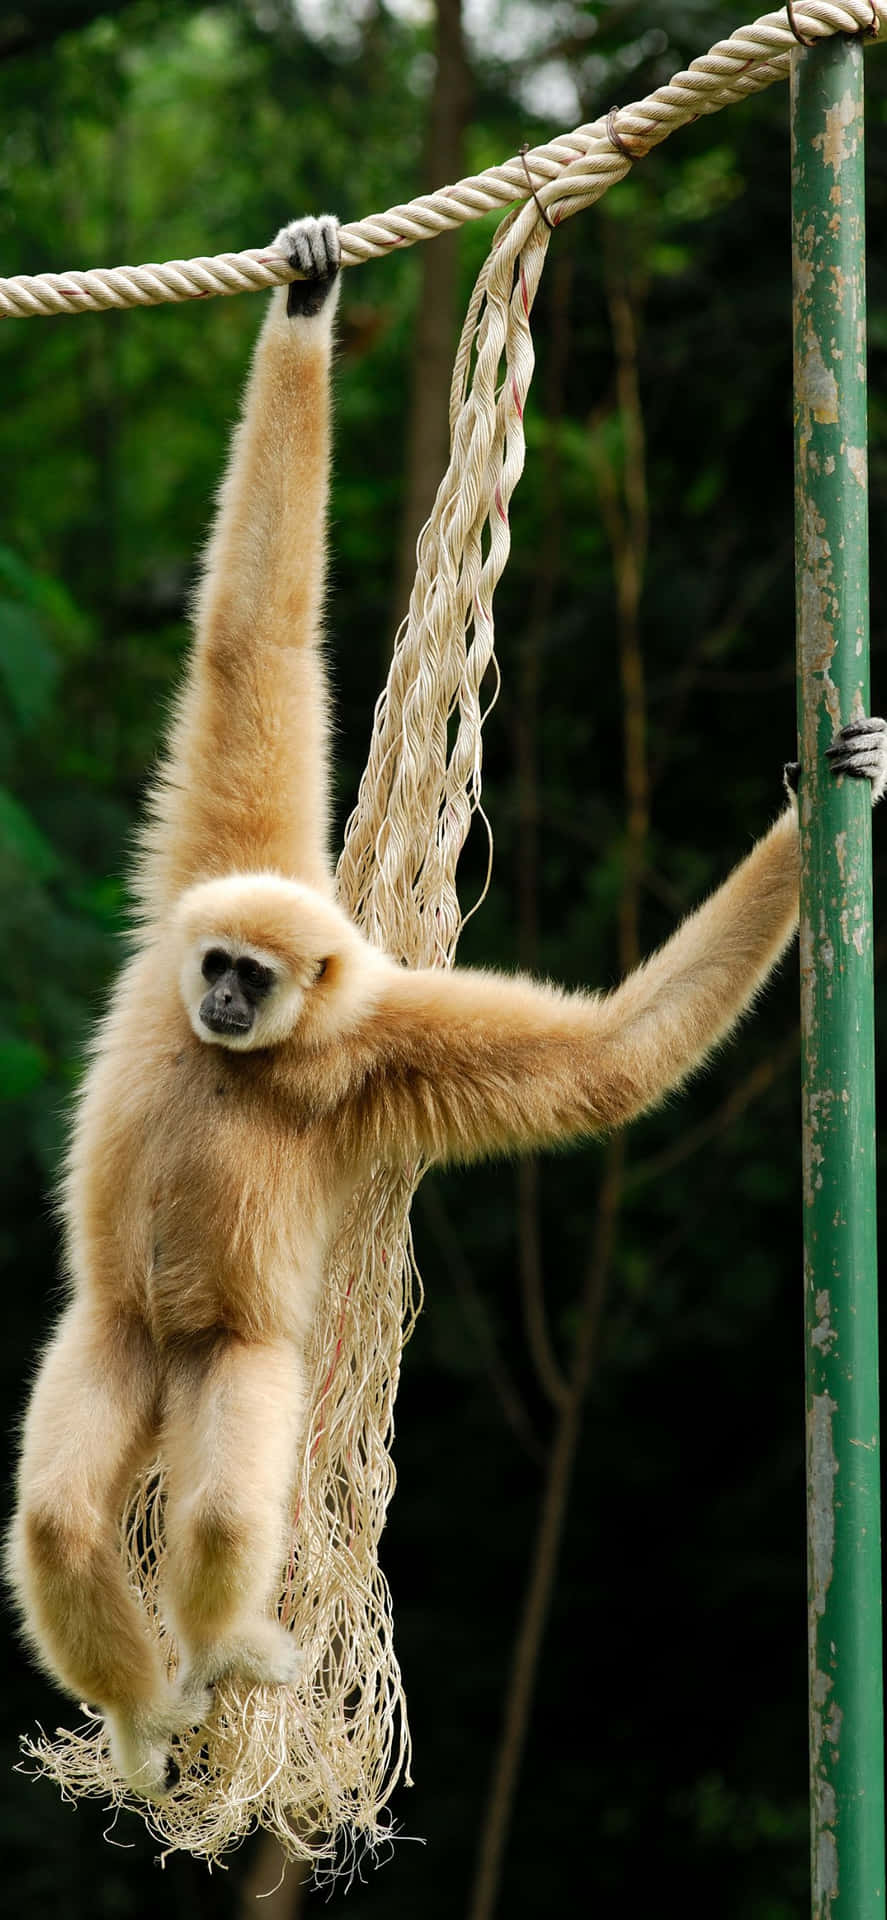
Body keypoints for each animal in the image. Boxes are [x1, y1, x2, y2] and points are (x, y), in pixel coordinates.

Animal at [7, 214, 887, 1801]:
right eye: (215, 964)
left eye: (253, 978)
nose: (219, 993)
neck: (257, 1054)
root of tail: (163, 1367)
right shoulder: (196, 889)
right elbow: (247, 647)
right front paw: (306, 297)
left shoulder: (373, 1048)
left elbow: (602, 1064)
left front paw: (811, 829)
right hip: (107, 1337)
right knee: (59, 1516)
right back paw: (151, 1712)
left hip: (235, 1363)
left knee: (220, 1505)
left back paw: (216, 1662)